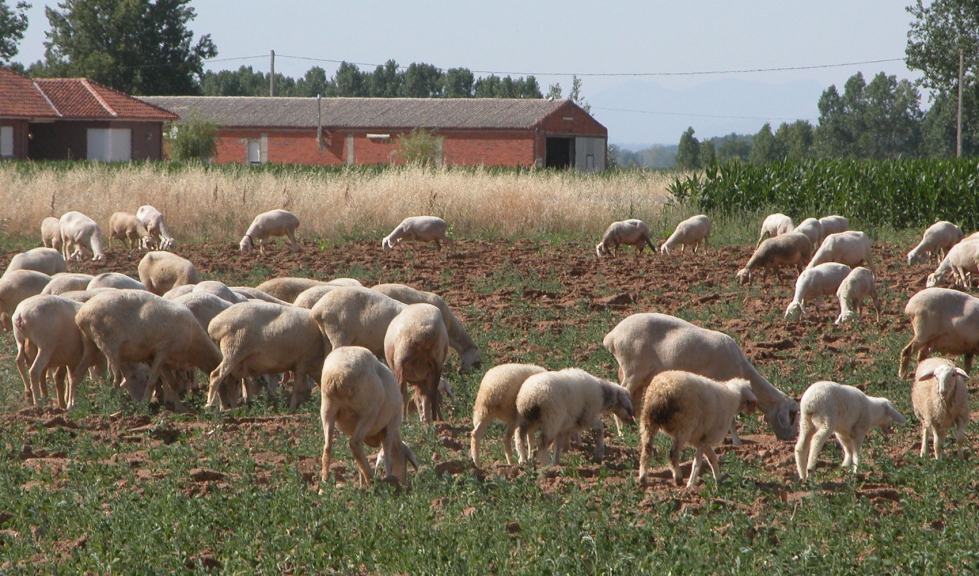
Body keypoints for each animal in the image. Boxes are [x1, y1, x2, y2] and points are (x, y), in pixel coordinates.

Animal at [69, 290, 222, 413]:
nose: (227, 406)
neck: (193, 342)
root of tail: (81, 315)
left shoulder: (162, 358)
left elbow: (171, 383)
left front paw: (179, 407)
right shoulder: (162, 352)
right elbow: (153, 381)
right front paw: (143, 405)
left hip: (90, 344)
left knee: (77, 374)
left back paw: (72, 405)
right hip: (110, 346)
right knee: (114, 378)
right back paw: (110, 402)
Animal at [319, 346, 419, 487]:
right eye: (405, 461)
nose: (404, 483)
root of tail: (339, 375)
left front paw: (362, 484)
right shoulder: (391, 425)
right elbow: (387, 455)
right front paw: (389, 476)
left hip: (328, 408)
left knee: (327, 447)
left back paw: (324, 485)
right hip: (368, 410)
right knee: (355, 443)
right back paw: (372, 479)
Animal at [603, 313, 800, 441]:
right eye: (792, 416)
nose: (790, 440)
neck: (742, 368)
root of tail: (611, 336)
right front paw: (735, 442)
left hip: (636, 374)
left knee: (634, 401)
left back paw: (634, 429)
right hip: (633, 369)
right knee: (623, 394)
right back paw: (622, 433)